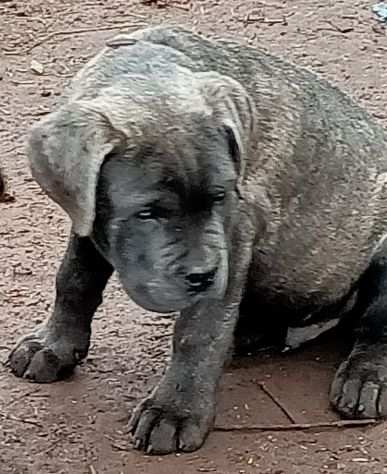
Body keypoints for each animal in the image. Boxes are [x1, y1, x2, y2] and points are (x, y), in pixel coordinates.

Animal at [6, 25, 387, 456]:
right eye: (147, 212)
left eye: (221, 197)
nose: (202, 276)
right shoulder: (87, 217)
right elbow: (74, 279)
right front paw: (52, 345)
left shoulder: (233, 239)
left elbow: (199, 331)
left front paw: (175, 411)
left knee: (375, 327)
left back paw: (364, 379)